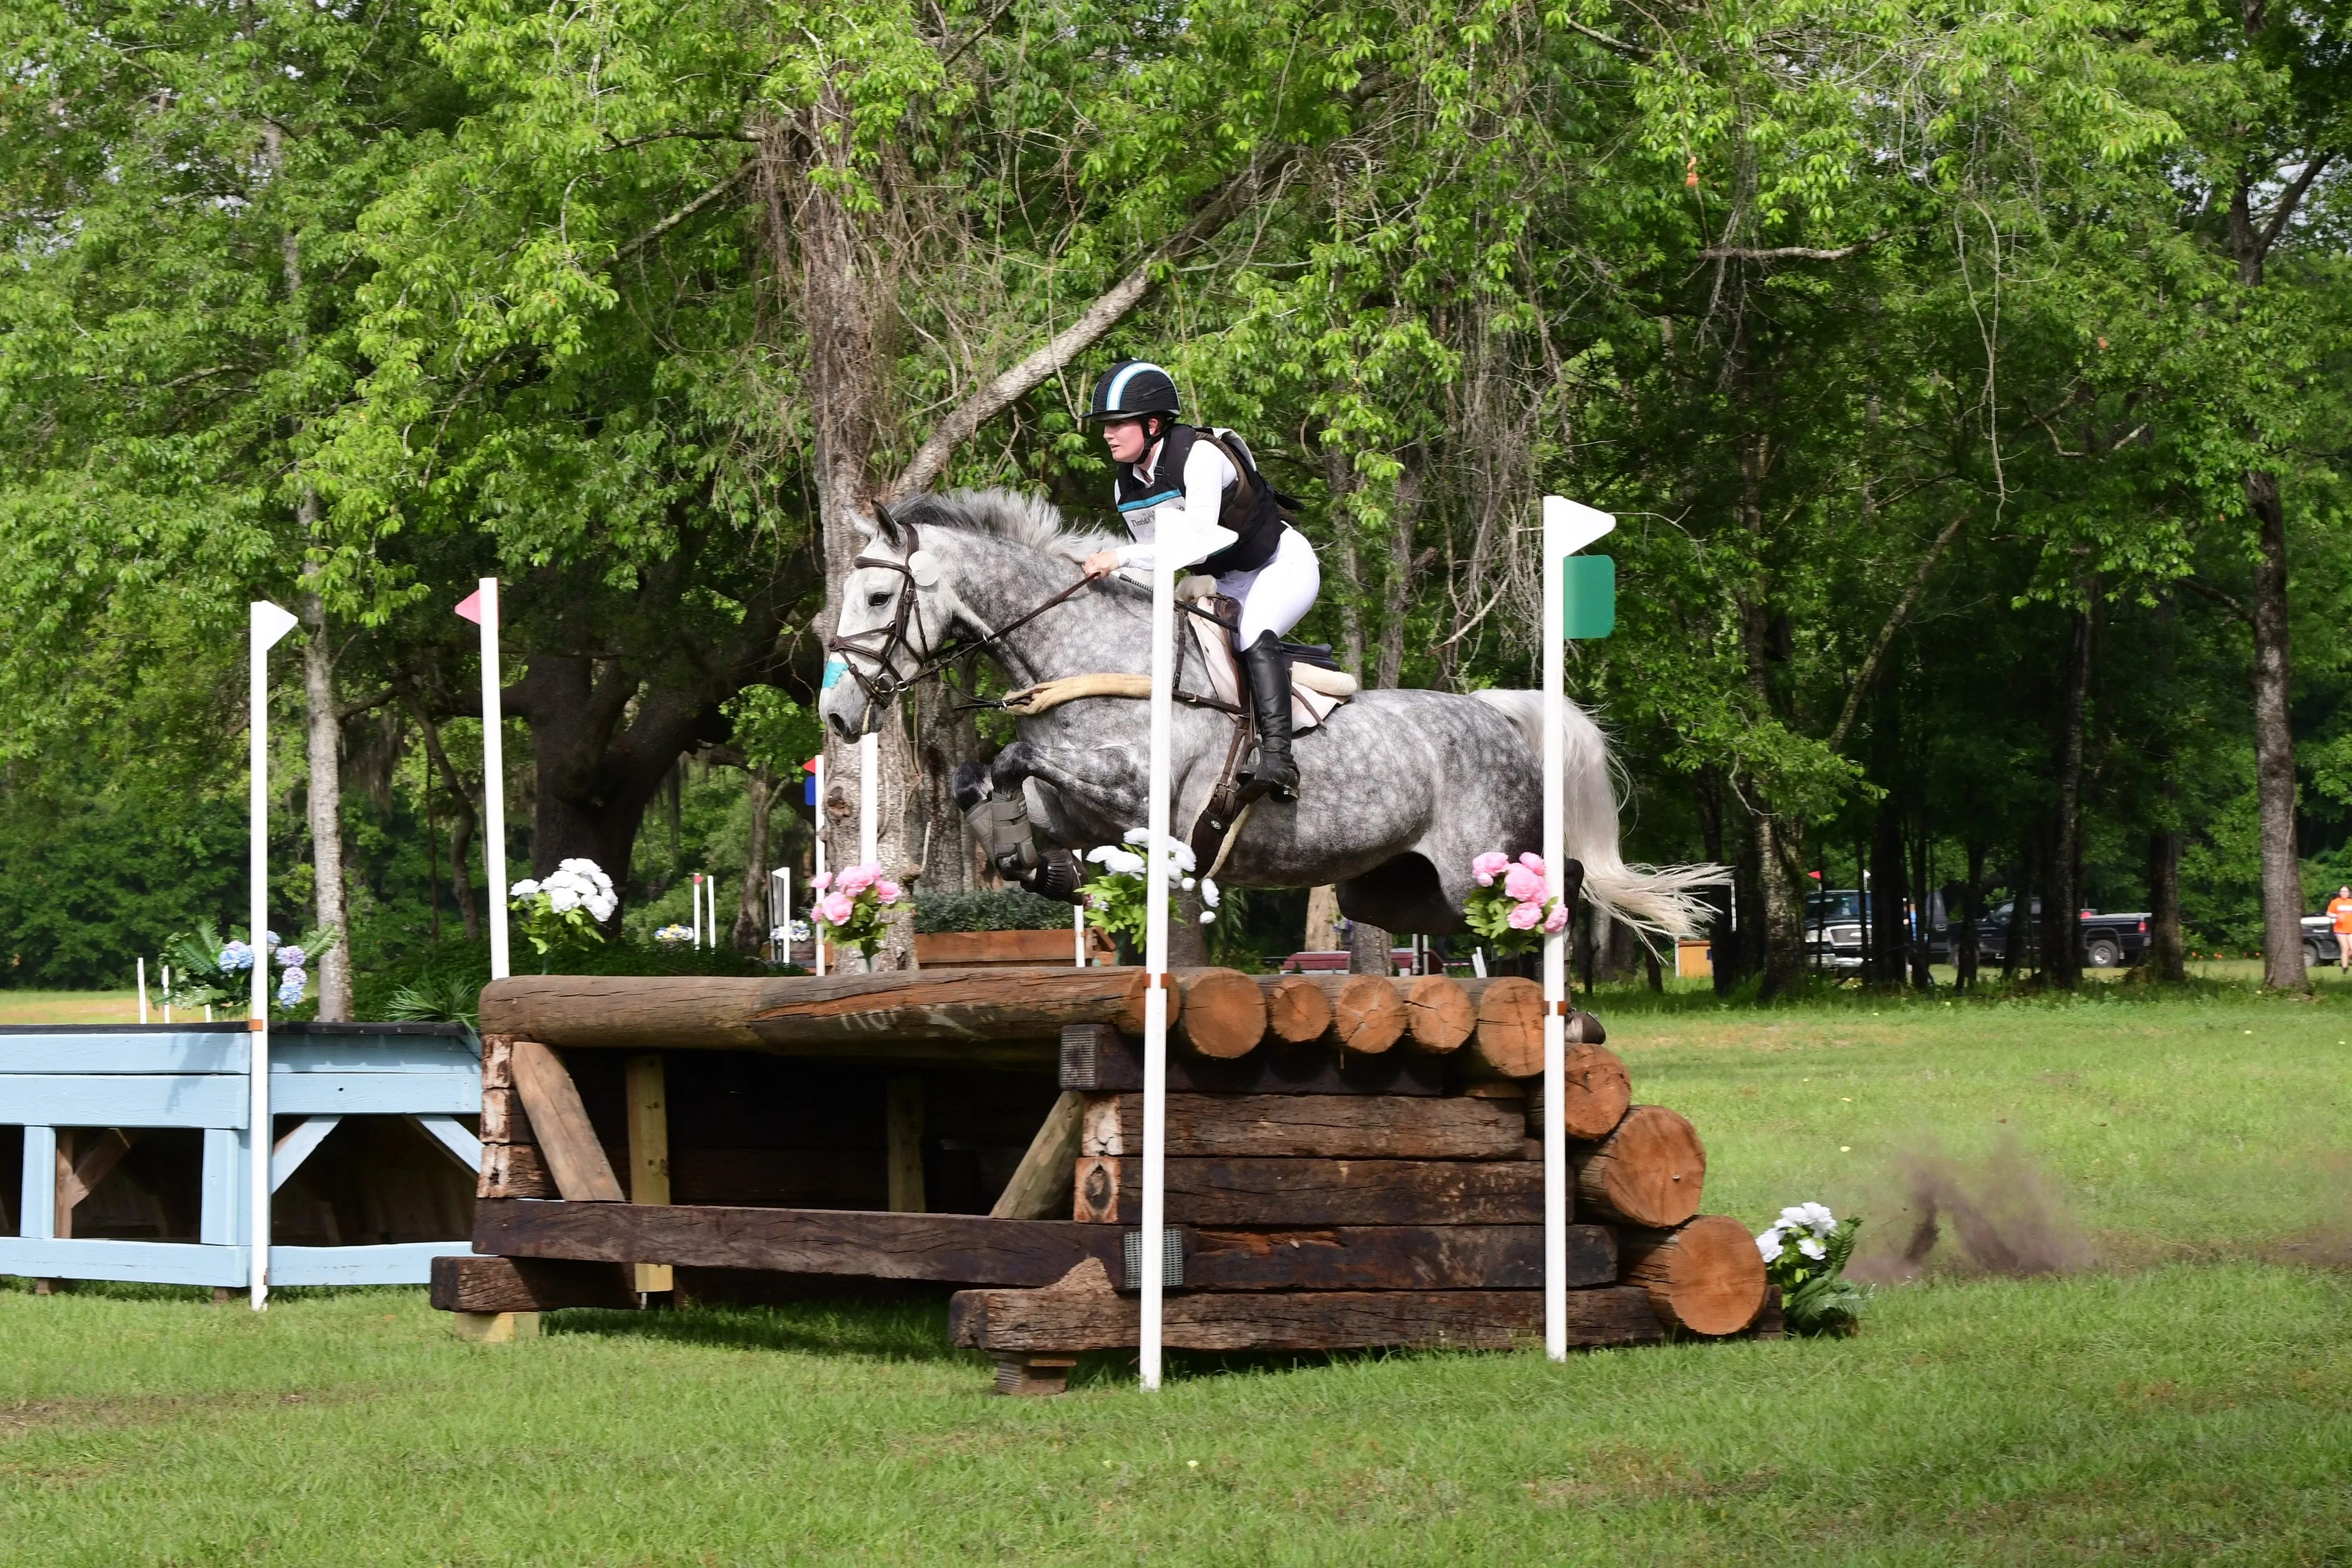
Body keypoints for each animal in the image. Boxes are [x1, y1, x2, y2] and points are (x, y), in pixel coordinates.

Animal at [818, 484, 1721, 940]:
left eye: (877, 597)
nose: (835, 716)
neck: (1087, 653)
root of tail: (1497, 714)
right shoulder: (1080, 810)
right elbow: (981, 783)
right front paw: (1026, 860)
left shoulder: (1137, 792)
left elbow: (1012, 759)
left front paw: (1028, 854)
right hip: (1395, 889)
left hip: (1482, 866)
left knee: (1550, 896)